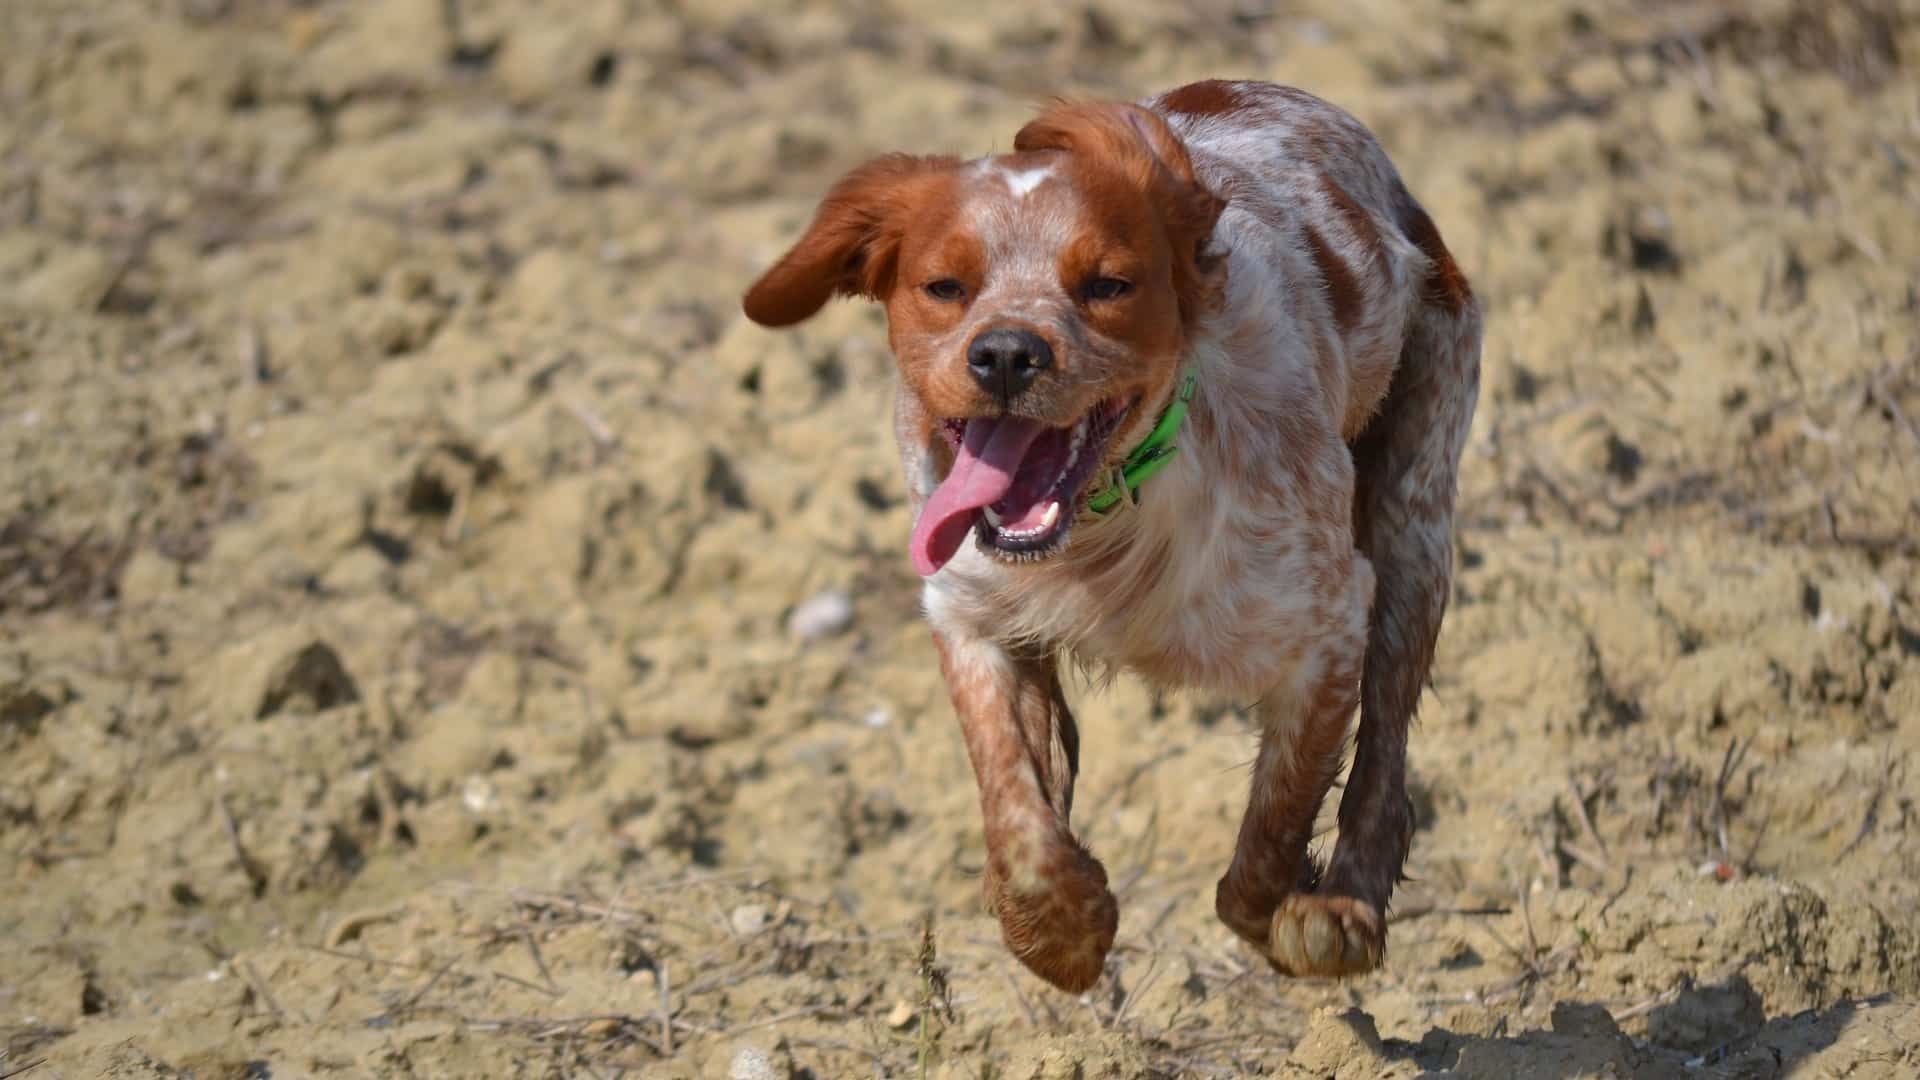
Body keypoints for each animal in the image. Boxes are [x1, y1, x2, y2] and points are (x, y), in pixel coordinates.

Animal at [741, 77, 1474, 991]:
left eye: (1108, 285)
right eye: (944, 286)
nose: (1007, 354)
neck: (1104, 525)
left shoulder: (1329, 624)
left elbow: (1270, 832)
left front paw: (1291, 911)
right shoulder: (969, 615)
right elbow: (1015, 805)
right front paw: (1061, 927)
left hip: (1416, 518)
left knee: (1385, 757)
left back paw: (1345, 906)